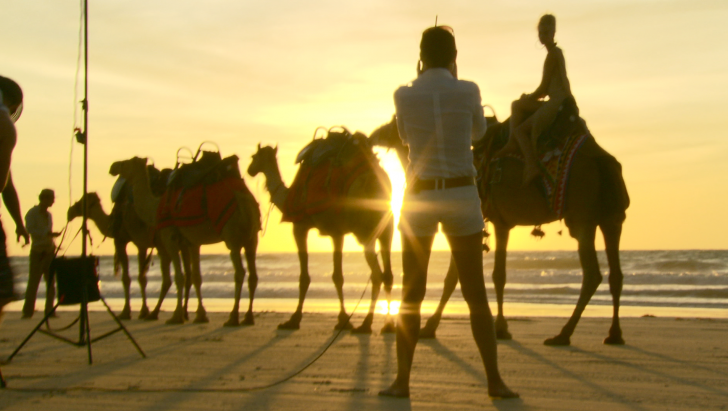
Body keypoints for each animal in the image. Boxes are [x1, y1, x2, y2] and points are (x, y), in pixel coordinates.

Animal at [68, 192, 178, 320]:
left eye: (81, 201)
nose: (70, 212)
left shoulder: (120, 240)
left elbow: (126, 278)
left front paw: (125, 312)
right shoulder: (141, 244)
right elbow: (142, 278)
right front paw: (143, 311)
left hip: (162, 242)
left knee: (168, 278)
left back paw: (157, 313)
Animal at [111, 156, 262, 326]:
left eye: (126, 163)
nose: (113, 167)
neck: (156, 206)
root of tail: (245, 199)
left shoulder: (170, 238)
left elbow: (179, 277)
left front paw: (176, 316)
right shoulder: (192, 242)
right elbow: (196, 276)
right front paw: (200, 316)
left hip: (232, 236)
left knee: (239, 272)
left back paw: (233, 317)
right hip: (251, 239)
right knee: (253, 274)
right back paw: (248, 317)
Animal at [246, 143, 392, 334]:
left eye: (254, 156)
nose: (249, 170)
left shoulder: (299, 226)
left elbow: (304, 277)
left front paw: (293, 320)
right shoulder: (337, 233)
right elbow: (338, 276)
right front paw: (343, 320)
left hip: (364, 231)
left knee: (377, 275)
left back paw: (366, 324)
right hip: (386, 229)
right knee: (387, 275)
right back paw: (387, 326)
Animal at [372, 110, 628, 348]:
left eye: (394, 122)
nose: (375, 135)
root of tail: (603, 160)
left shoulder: (488, 221)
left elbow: (481, 276)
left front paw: (498, 328)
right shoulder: (496, 223)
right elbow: (472, 277)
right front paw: (436, 326)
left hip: (582, 217)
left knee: (592, 274)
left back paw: (563, 334)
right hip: (611, 218)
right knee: (615, 274)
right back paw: (614, 334)